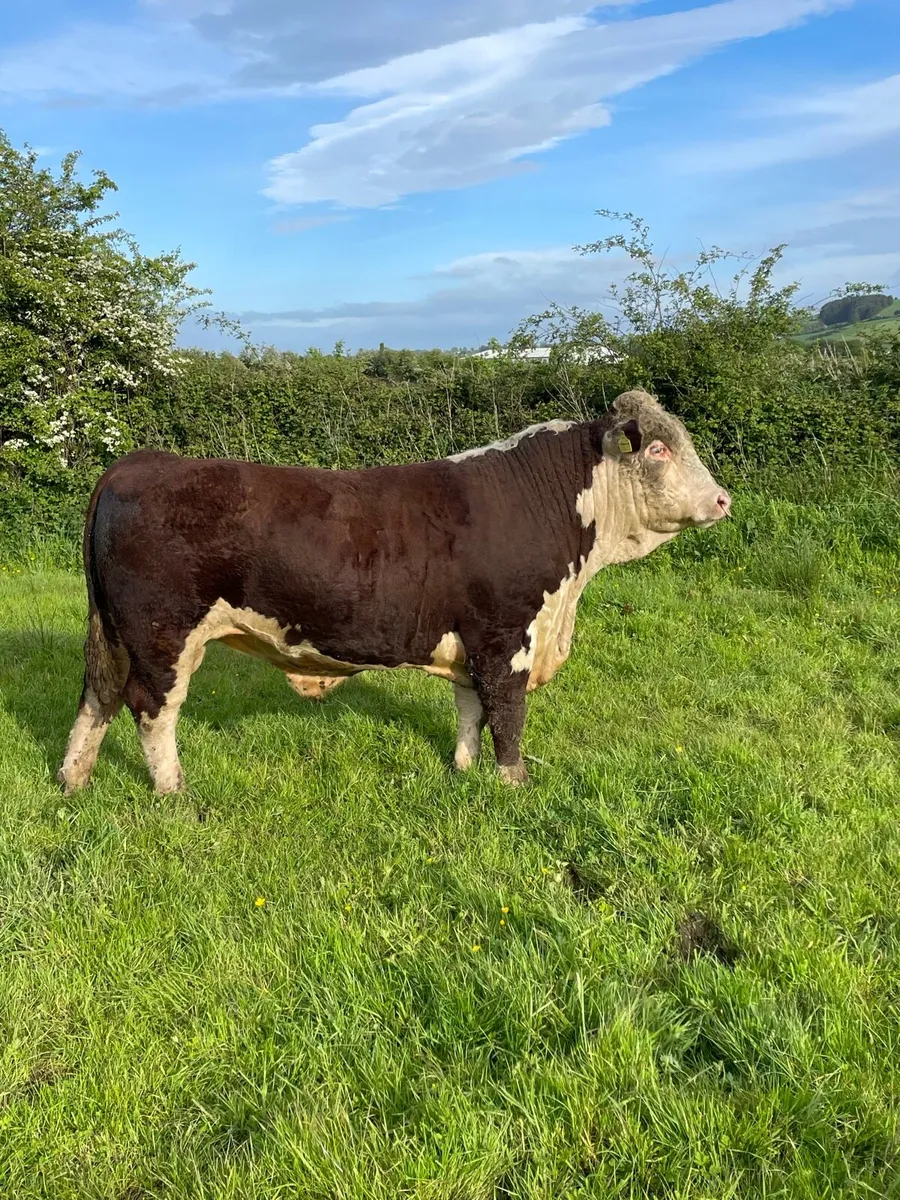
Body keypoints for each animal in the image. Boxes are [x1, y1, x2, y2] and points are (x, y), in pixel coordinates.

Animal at [58, 389, 730, 796]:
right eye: (660, 447)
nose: (723, 500)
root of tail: (139, 462)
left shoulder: (473, 640)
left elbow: (470, 710)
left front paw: (462, 772)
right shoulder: (508, 635)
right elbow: (507, 715)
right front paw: (514, 786)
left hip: (116, 633)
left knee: (97, 697)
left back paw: (74, 780)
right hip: (163, 634)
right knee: (152, 708)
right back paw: (175, 794)